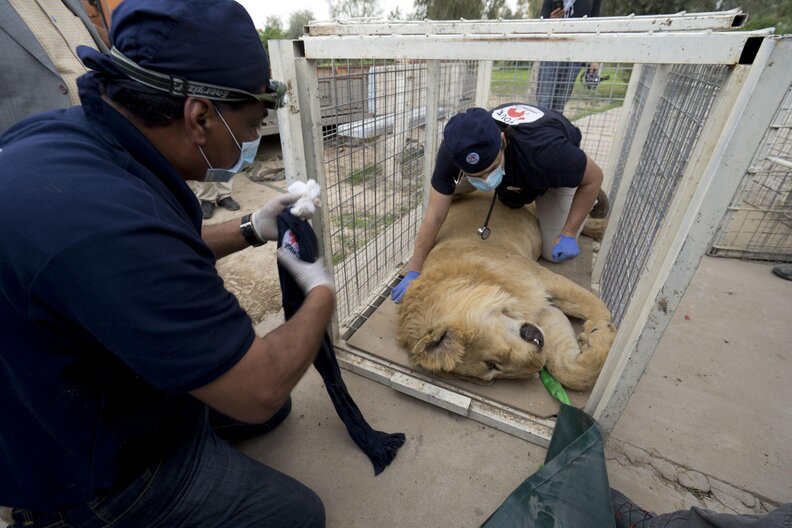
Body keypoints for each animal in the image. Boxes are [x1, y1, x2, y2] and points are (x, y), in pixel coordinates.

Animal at [396, 192, 616, 391]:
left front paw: (601, 330)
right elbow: (569, 372)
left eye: (490, 363)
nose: (537, 365)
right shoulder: (542, 314)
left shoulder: (544, 280)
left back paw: (599, 227)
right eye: (493, 368)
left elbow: (598, 306)